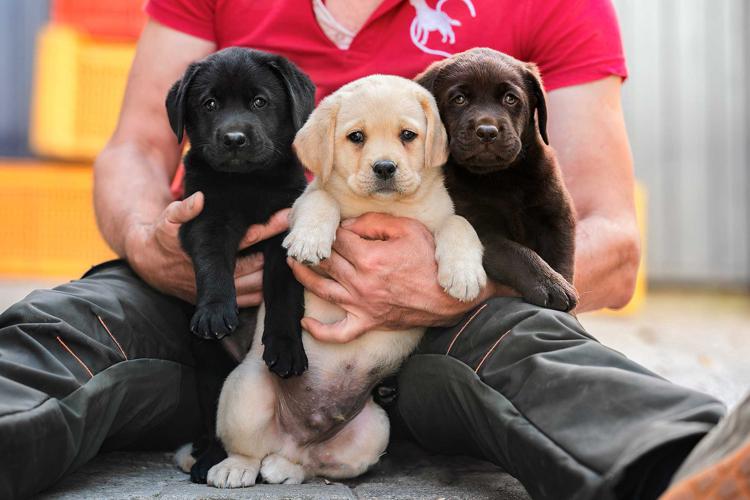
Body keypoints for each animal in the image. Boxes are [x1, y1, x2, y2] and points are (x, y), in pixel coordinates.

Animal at [167, 47, 314, 376]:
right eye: (209, 104)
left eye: (259, 102)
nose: (234, 138)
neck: (248, 181)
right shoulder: (205, 216)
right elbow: (212, 261)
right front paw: (215, 311)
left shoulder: (285, 231)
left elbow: (284, 291)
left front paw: (286, 346)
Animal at [206, 75, 488, 488]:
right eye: (356, 137)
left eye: (408, 135)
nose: (385, 167)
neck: (383, 207)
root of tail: (296, 436)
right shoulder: (299, 207)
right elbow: (321, 200)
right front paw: (310, 239)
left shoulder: (440, 217)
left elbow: (459, 222)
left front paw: (464, 274)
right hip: (247, 388)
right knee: (248, 449)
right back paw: (234, 468)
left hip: (375, 429)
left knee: (310, 463)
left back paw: (285, 468)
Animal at [420, 48, 580, 310]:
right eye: (459, 99)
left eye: (510, 99)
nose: (487, 131)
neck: (502, 177)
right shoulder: (482, 228)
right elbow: (516, 253)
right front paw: (549, 284)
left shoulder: (557, 219)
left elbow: (561, 262)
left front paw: (560, 288)